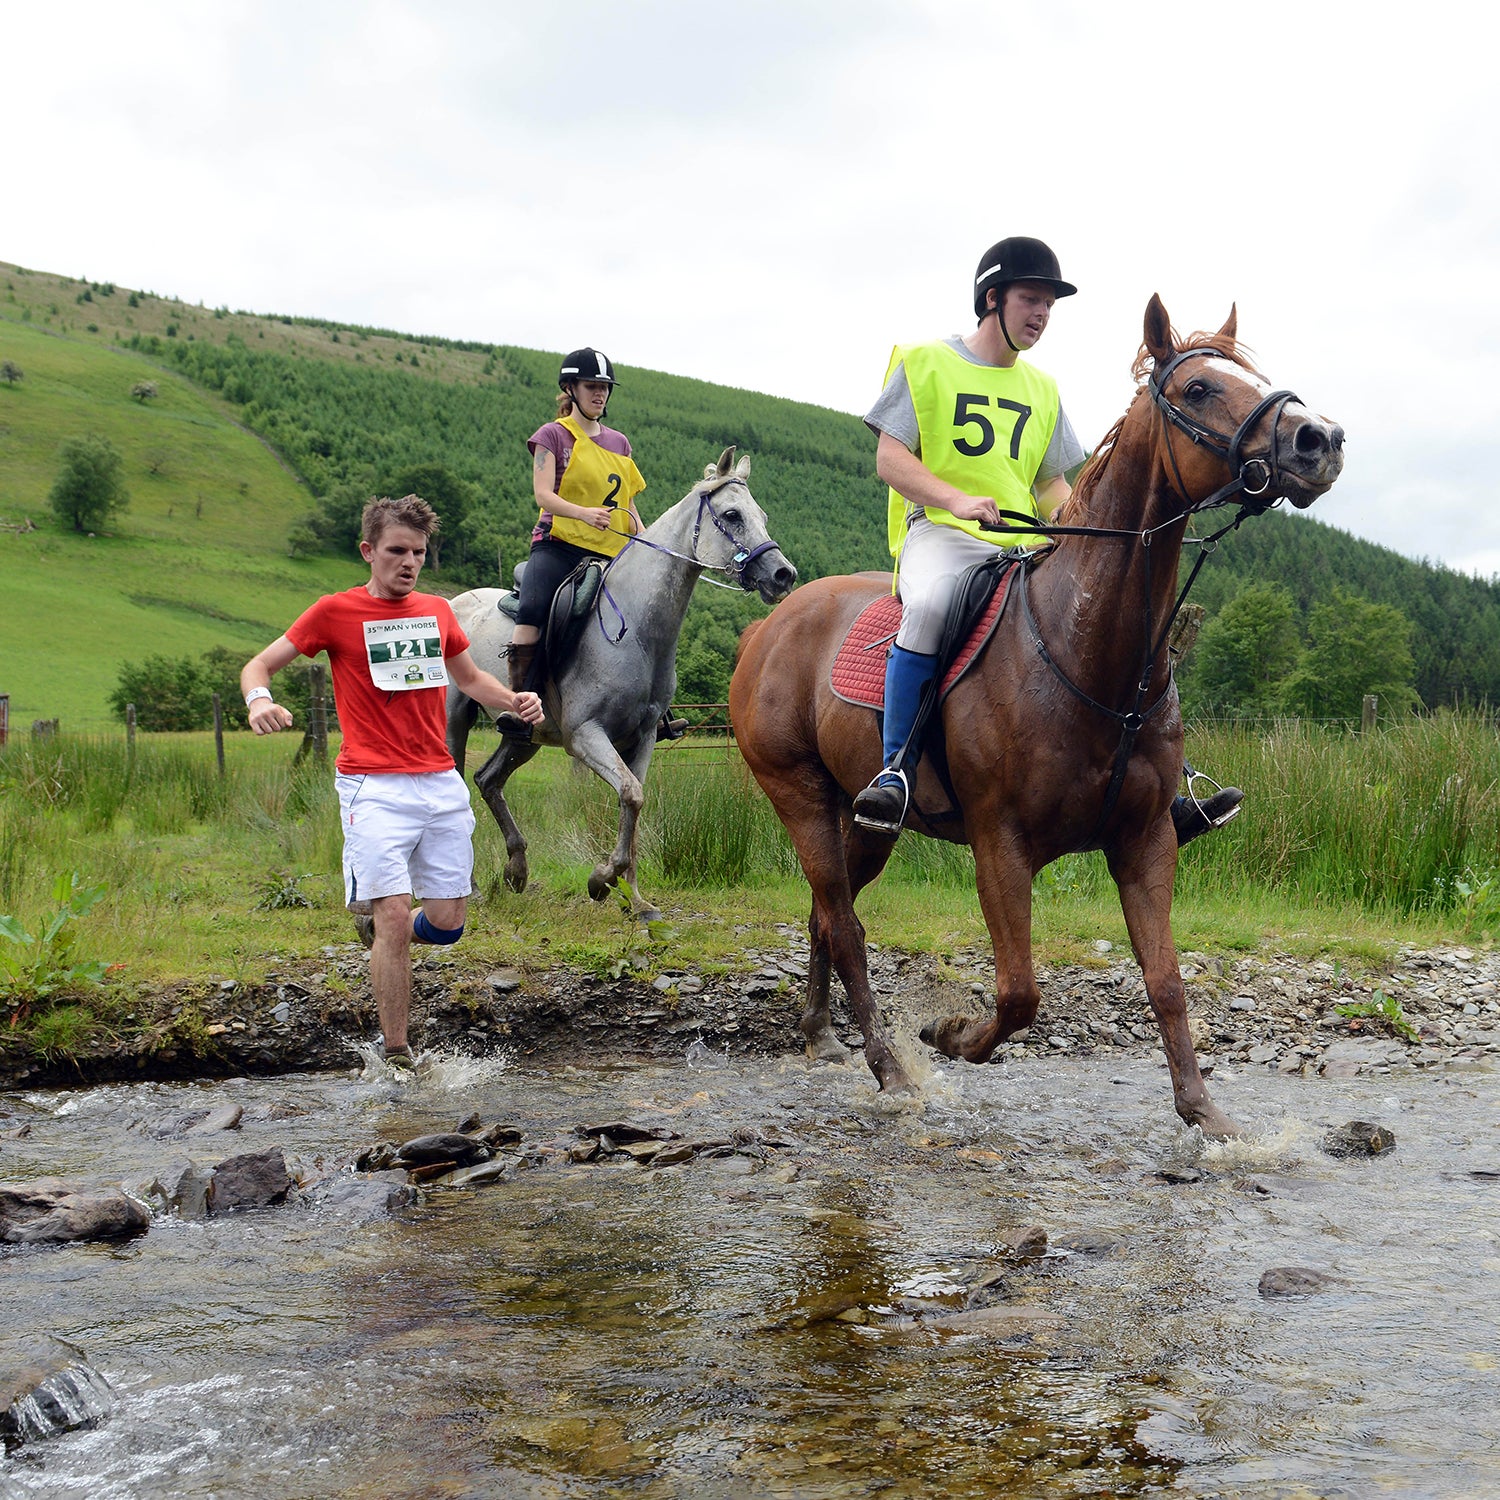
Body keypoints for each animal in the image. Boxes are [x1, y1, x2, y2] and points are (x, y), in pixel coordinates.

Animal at [444, 438, 798, 918]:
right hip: (455, 717)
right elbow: (630, 794)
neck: (637, 630)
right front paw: (601, 880)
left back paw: (516, 870)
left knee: (489, 780)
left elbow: (635, 800)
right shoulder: (586, 735)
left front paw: (635, 898)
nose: (783, 575)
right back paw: (472, 887)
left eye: (761, 515)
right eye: (731, 515)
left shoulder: (644, 735)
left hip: (524, 737)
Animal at [729, 295, 1350, 1134]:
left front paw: (1206, 1116)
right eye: (1198, 390)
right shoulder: (1002, 845)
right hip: (798, 796)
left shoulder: (1147, 841)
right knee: (847, 926)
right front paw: (951, 1035)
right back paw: (890, 1067)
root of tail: (769, 625)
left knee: (827, 914)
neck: (1085, 651)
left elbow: (1167, 982)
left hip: (861, 822)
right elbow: (1020, 992)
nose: (1321, 441)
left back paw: (821, 1036)